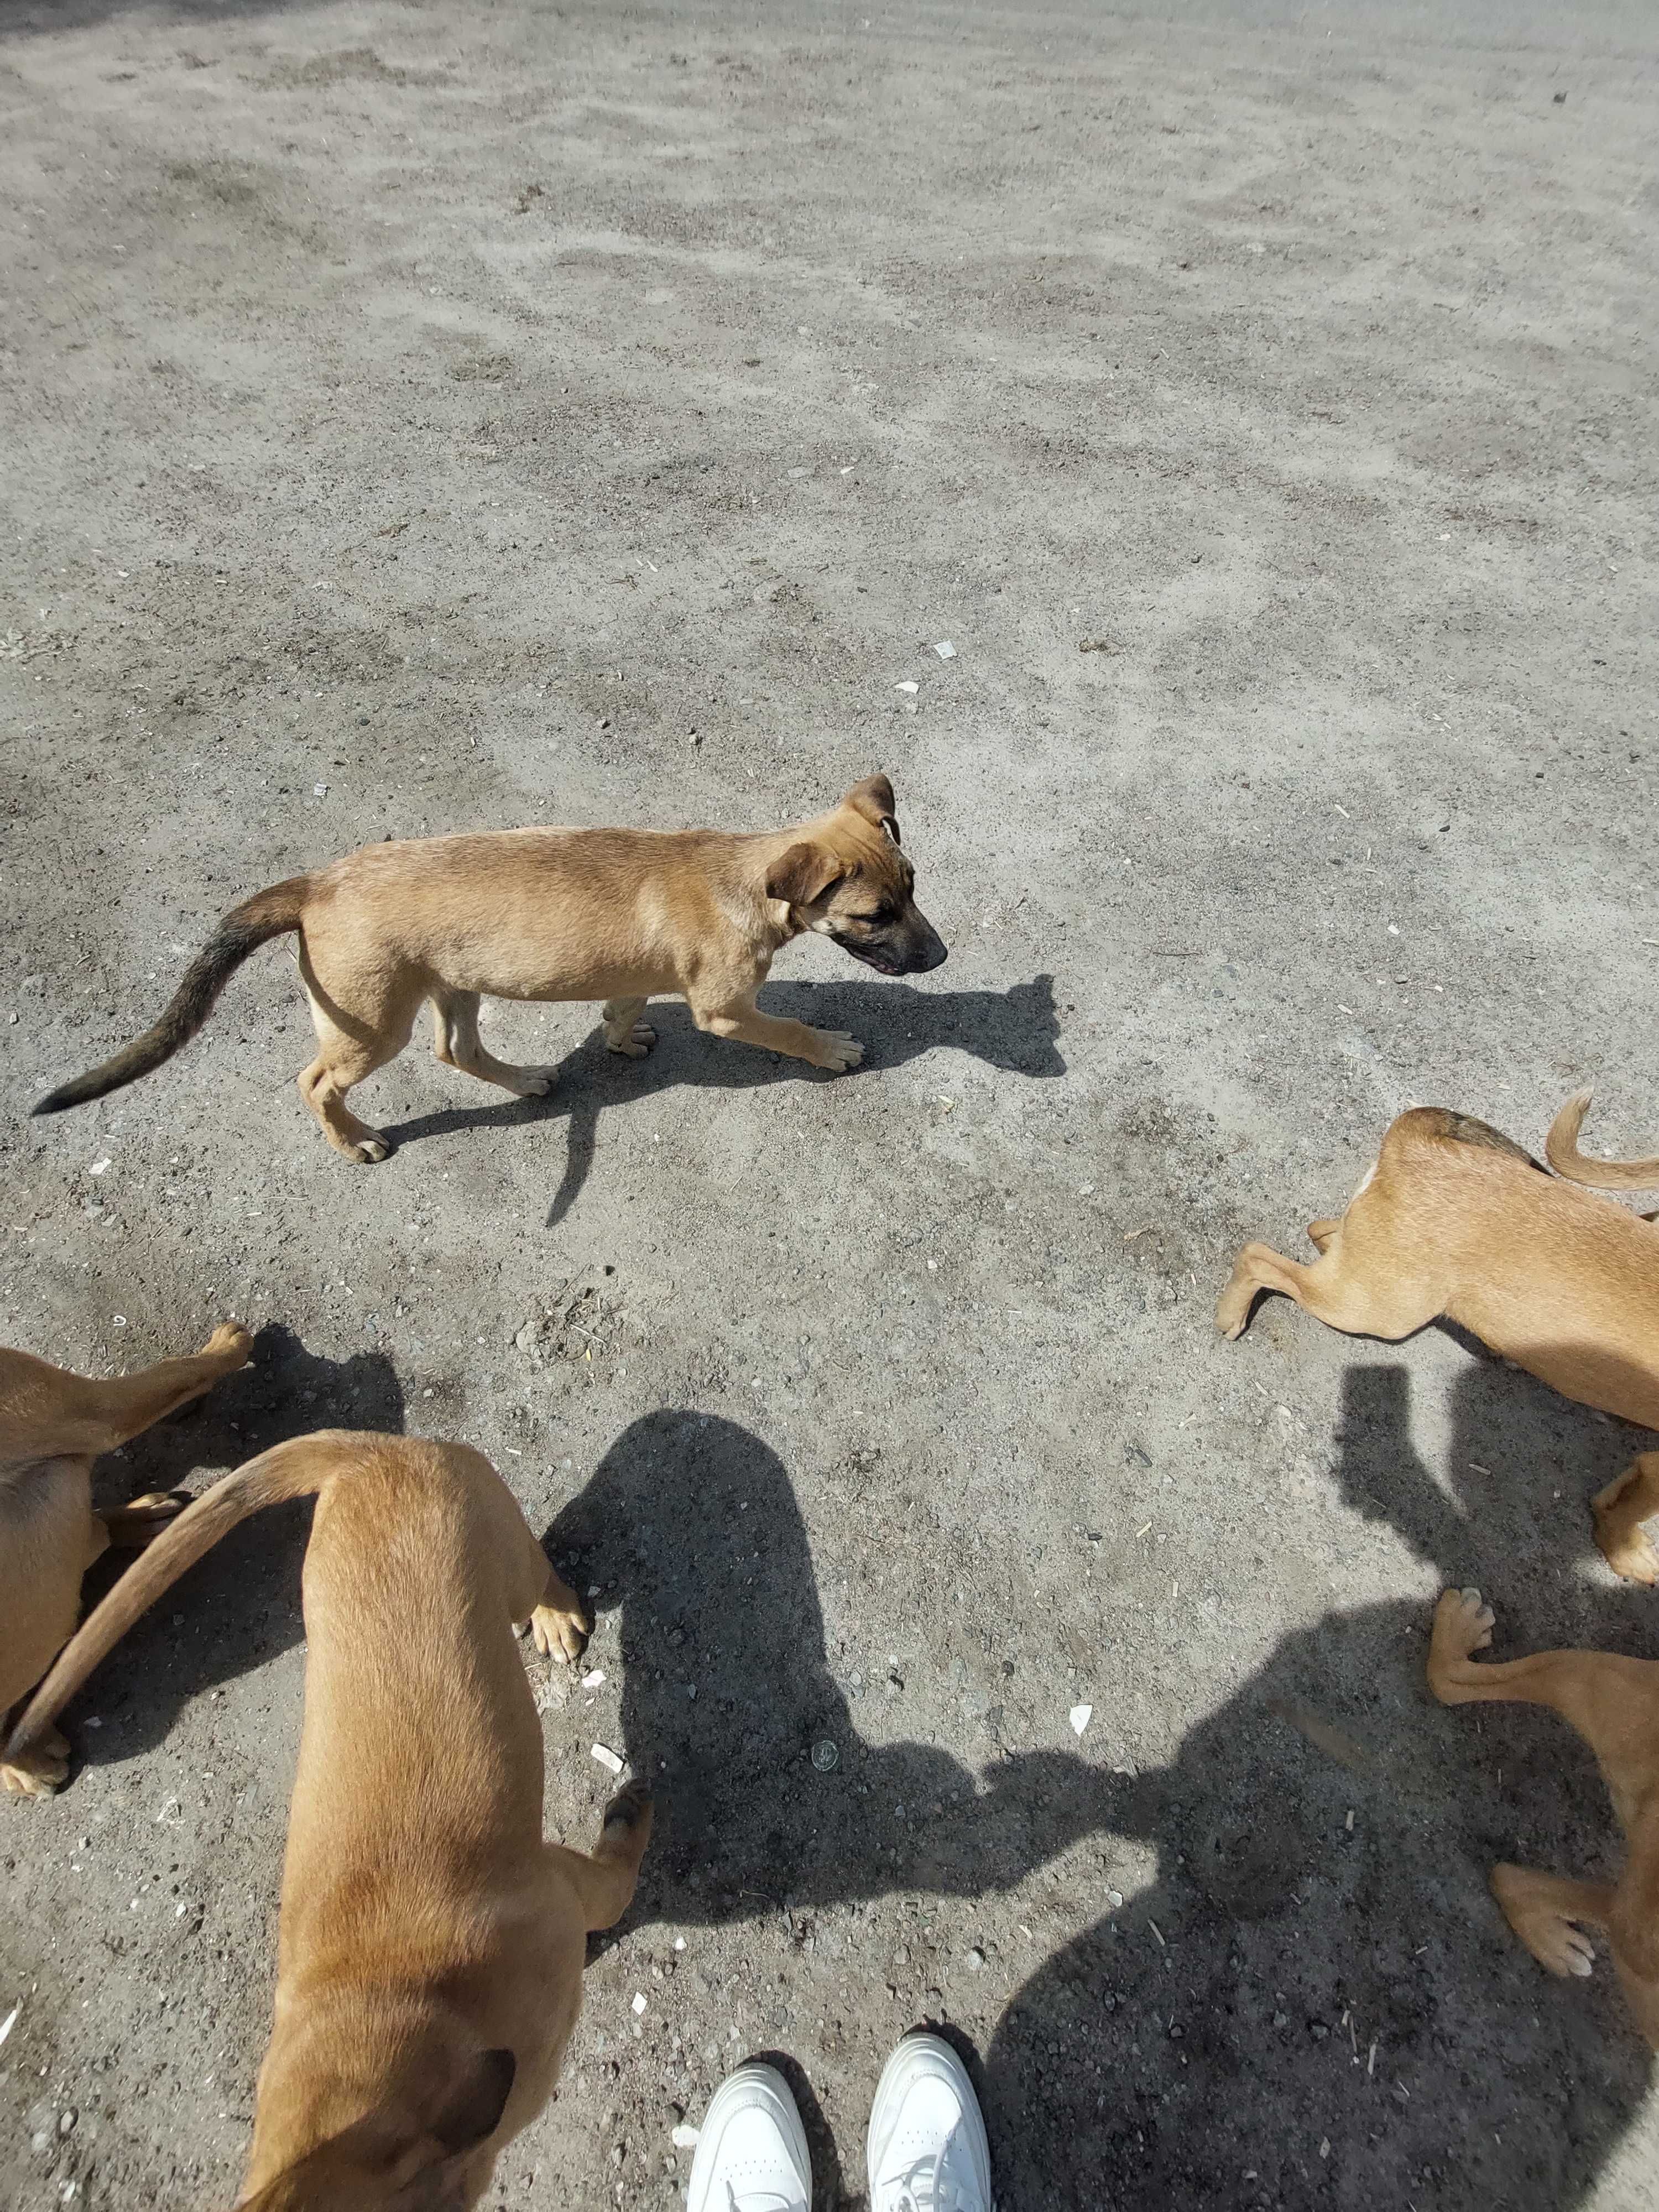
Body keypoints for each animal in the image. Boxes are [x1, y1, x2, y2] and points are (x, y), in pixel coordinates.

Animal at [3, 1425, 655, 2203]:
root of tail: (368, 1453)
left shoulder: (567, 1889)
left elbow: (618, 1878)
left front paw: (632, 1817)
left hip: (505, 1548)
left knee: (543, 1574)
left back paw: (556, 1616)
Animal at [29, 774, 947, 1168]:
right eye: (875, 916)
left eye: (914, 884)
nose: (941, 957)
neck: (741, 878)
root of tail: (316, 883)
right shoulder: (726, 1008)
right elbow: (785, 1026)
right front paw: (832, 1050)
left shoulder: (633, 972)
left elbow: (622, 1004)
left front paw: (622, 1040)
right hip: (372, 1023)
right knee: (316, 1082)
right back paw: (354, 1141)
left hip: (454, 987)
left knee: (458, 1051)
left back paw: (528, 1081)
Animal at [1212, 1102, 1659, 1584]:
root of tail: (1424, 1145)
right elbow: (1630, 1508)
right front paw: (1626, 1553)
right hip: (1373, 1308)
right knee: (1258, 1256)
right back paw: (1231, 1315)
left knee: (1321, 1232)